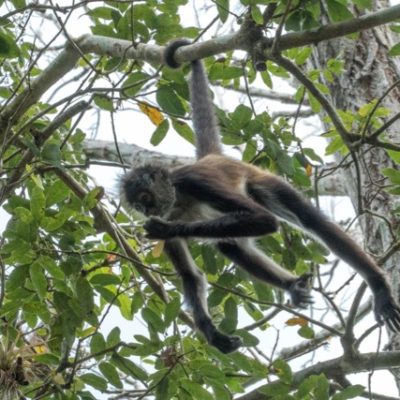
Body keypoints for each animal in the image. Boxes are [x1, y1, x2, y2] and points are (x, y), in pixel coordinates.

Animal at [121, 39, 400, 354]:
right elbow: (192, 277)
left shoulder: (195, 182)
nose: (146, 211)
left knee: (311, 222)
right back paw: (291, 286)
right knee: (230, 245)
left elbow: (264, 220)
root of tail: (212, 157)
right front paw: (215, 336)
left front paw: (168, 228)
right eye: (137, 204)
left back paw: (378, 286)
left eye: (146, 198)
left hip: (260, 181)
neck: (179, 199)